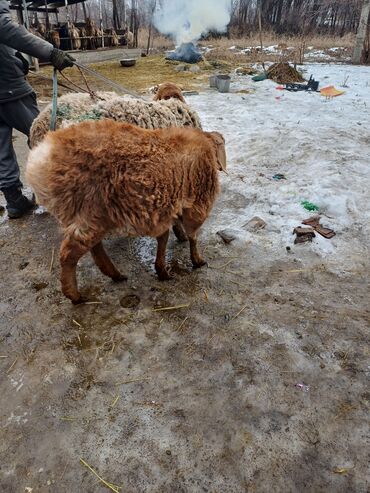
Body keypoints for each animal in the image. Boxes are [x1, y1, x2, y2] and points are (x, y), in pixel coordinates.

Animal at [26, 119, 225, 304]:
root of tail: (42, 156)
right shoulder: (197, 204)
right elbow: (193, 236)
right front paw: (197, 261)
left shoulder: (165, 208)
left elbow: (164, 237)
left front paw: (162, 269)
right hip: (89, 210)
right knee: (69, 253)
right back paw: (75, 295)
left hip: (90, 216)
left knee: (93, 248)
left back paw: (116, 275)